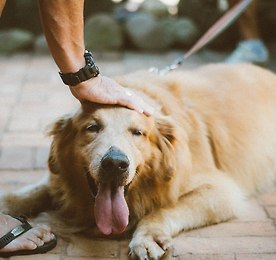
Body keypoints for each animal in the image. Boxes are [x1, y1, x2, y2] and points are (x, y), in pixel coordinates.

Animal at [0, 63, 276, 260]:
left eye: (138, 132)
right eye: (92, 127)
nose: (115, 164)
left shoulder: (220, 190)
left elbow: (164, 209)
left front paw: (148, 236)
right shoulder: (59, 180)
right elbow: (25, 193)